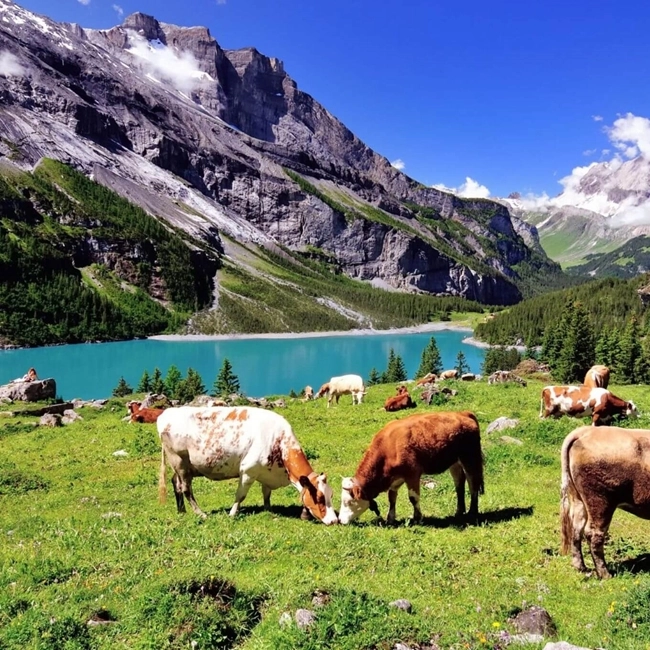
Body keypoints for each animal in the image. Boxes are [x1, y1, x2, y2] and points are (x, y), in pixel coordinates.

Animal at [158, 402, 340, 524]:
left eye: (331, 495)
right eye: (319, 498)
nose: (334, 520)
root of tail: (166, 414)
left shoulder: (266, 472)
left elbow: (266, 494)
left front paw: (268, 510)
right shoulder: (248, 470)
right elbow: (241, 495)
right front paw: (232, 513)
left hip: (182, 465)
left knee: (176, 483)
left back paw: (181, 511)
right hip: (179, 461)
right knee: (186, 488)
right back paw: (200, 513)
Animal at [336, 412, 484, 524]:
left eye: (349, 502)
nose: (341, 520)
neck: (388, 447)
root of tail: (463, 413)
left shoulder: (413, 474)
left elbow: (413, 498)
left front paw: (417, 518)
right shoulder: (396, 479)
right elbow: (391, 497)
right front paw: (390, 519)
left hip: (470, 458)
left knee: (473, 484)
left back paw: (472, 512)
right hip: (454, 463)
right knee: (459, 484)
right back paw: (459, 512)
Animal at [560, 426, 650, 576]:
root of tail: (587, 430)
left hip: (579, 499)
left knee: (576, 529)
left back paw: (581, 567)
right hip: (600, 500)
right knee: (594, 533)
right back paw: (605, 574)